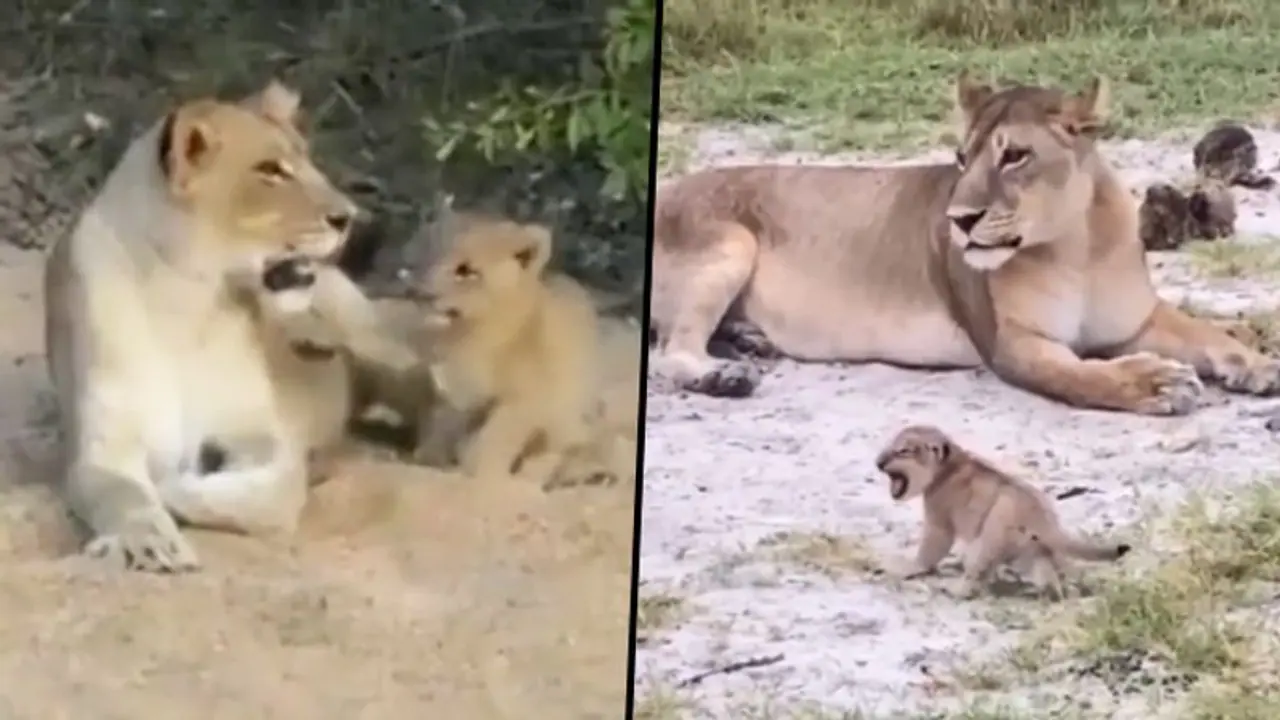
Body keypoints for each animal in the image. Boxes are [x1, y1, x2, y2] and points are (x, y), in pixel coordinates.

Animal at [43, 79, 409, 573]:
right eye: (270, 171)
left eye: (307, 160)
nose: (348, 217)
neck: (187, 300)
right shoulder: (103, 445)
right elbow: (123, 493)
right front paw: (149, 539)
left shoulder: (262, 436)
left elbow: (269, 492)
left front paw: (177, 486)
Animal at [649, 72, 1280, 411]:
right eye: (961, 157)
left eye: (1015, 155)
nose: (960, 220)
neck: (1075, 245)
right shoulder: (1013, 347)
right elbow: (1084, 376)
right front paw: (1157, 381)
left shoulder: (1136, 321)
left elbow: (1208, 333)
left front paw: (1257, 364)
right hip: (730, 244)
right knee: (671, 350)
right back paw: (723, 373)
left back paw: (749, 340)